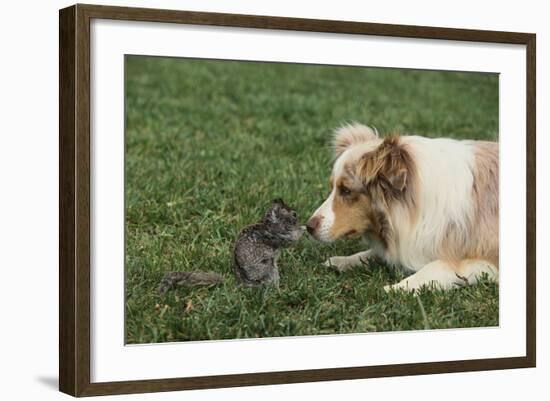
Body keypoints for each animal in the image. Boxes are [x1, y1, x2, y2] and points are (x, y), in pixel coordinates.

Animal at [158, 198, 306, 292]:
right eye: (294, 214)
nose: (299, 218)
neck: (269, 223)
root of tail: (244, 284)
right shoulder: (278, 235)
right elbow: (292, 240)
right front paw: (303, 228)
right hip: (269, 269)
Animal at [308, 122, 502, 290]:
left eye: (346, 190)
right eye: (333, 187)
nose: (308, 227)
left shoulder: (487, 255)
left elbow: (437, 266)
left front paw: (394, 289)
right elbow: (372, 253)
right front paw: (342, 261)